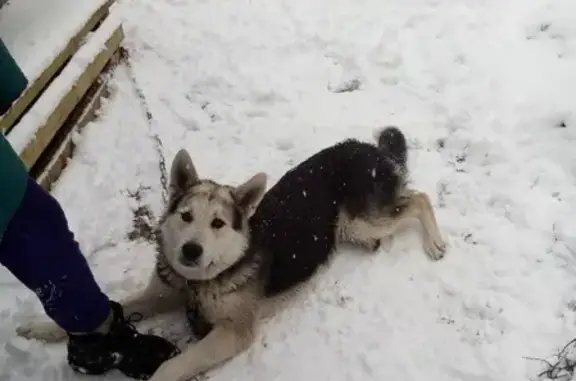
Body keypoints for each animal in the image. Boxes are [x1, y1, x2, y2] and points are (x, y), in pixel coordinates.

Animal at [12, 126, 446, 378]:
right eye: (186, 216)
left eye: (219, 224)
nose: (190, 250)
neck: (199, 283)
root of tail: (369, 149)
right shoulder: (162, 293)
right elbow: (112, 305)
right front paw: (41, 327)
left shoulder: (233, 333)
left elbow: (175, 364)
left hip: (358, 221)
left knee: (418, 199)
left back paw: (435, 241)